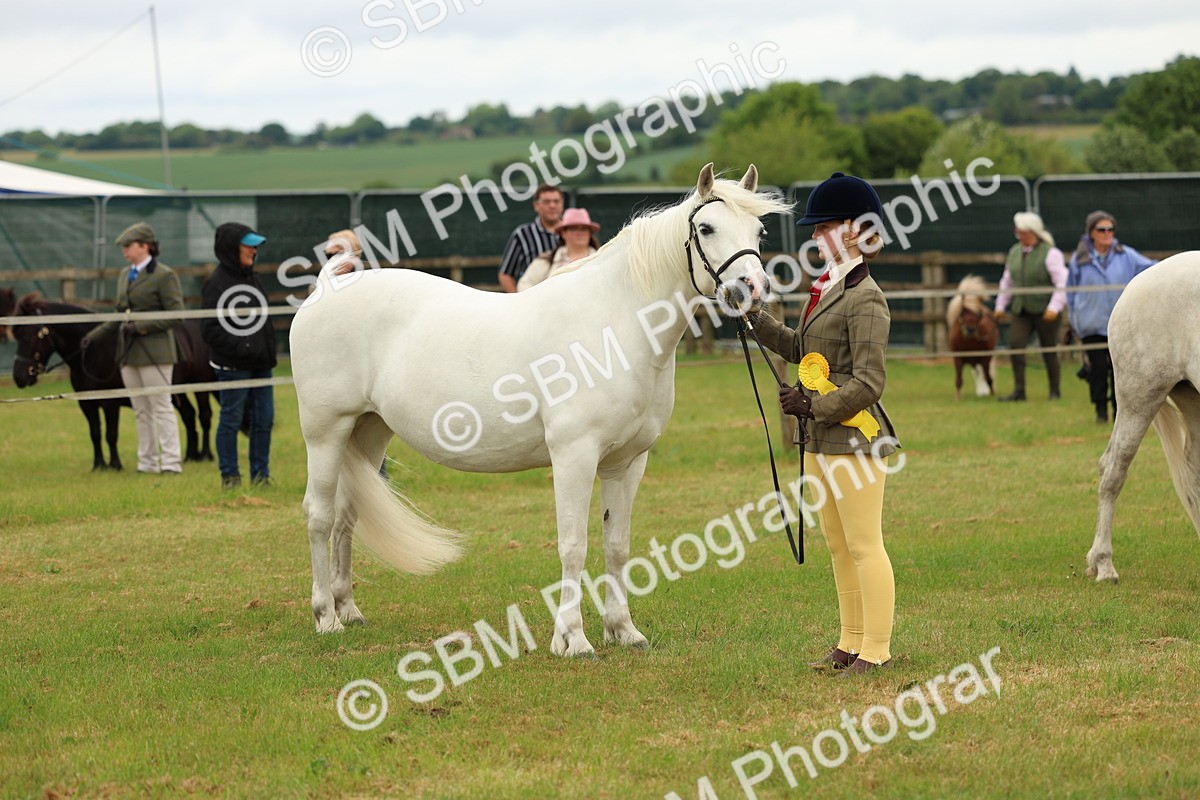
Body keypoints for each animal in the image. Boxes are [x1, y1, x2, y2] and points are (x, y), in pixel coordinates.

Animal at [10, 293, 218, 469]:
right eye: (17, 337)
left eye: (28, 337)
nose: (19, 377)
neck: (92, 354)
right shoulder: (86, 404)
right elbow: (95, 433)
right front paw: (99, 465)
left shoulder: (110, 403)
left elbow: (111, 434)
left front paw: (115, 465)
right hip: (176, 393)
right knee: (189, 415)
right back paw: (191, 456)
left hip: (201, 387)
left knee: (204, 416)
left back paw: (205, 454)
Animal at [290, 164, 788, 654]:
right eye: (706, 228)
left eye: (759, 230)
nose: (753, 289)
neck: (614, 325)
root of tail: (325, 290)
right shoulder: (574, 456)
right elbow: (573, 545)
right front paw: (572, 638)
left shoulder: (627, 463)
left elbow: (617, 545)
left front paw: (623, 630)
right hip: (326, 432)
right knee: (319, 516)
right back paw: (326, 618)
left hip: (369, 431)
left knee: (347, 515)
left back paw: (349, 610)